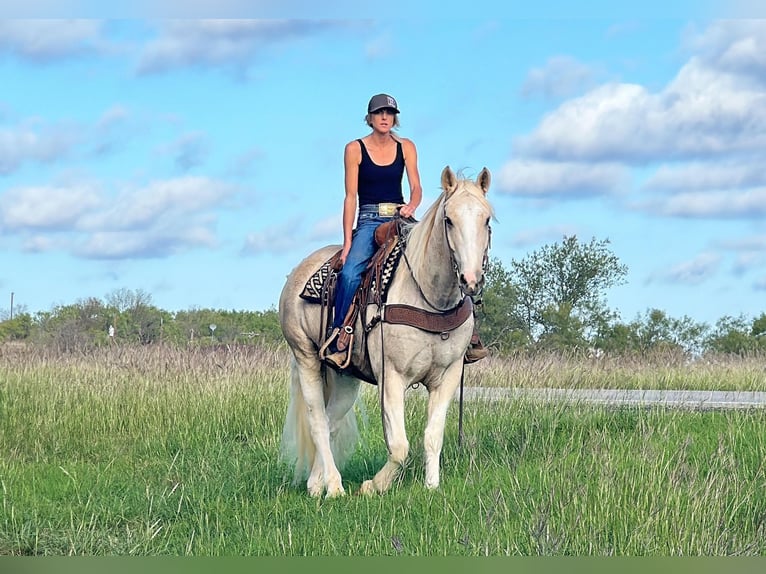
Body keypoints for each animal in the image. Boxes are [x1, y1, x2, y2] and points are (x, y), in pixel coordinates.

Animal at [280, 164, 496, 498]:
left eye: (486, 219)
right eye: (448, 220)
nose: (471, 281)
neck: (431, 298)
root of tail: (298, 272)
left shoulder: (447, 377)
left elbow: (433, 436)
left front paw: (431, 486)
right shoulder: (392, 377)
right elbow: (399, 446)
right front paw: (374, 485)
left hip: (345, 376)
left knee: (330, 422)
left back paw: (317, 484)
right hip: (306, 358)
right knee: (317, 421)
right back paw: (335, 486)